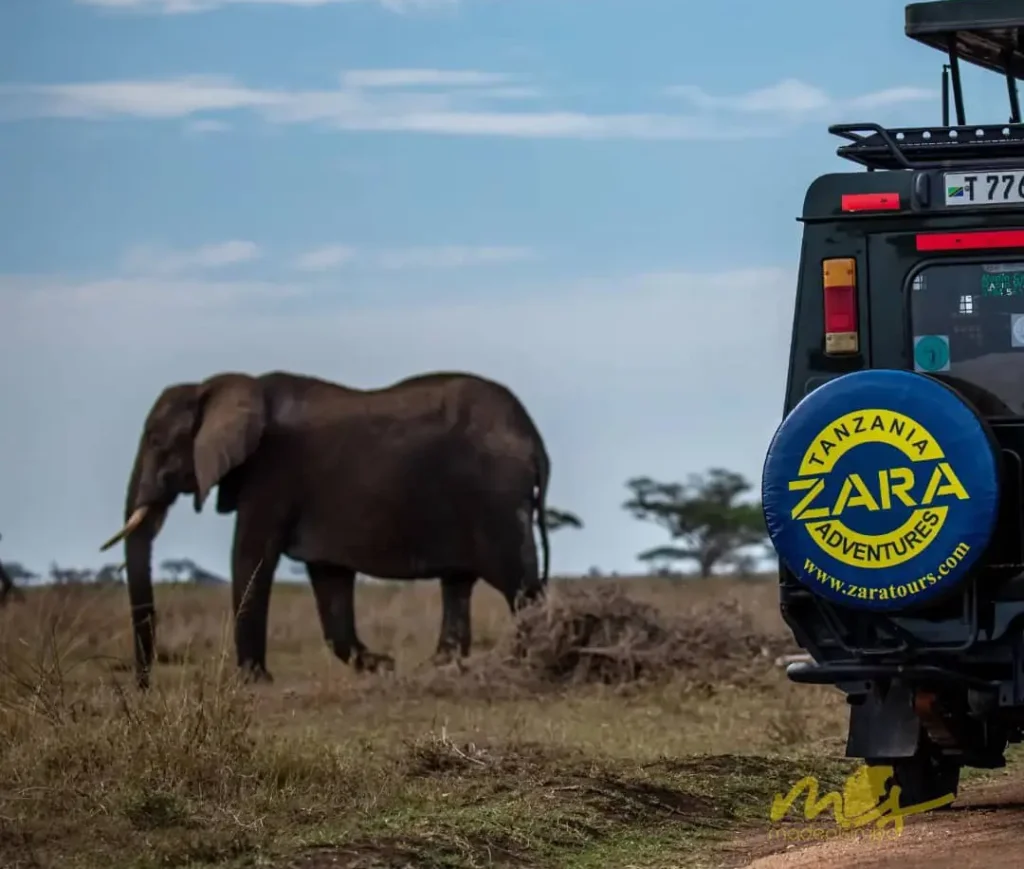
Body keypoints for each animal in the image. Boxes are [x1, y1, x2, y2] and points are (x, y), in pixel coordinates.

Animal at [99, 370, 551, 689]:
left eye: (157, 442)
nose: (143, 686)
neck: (217, 386)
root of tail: (535, 439)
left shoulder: (271, 474)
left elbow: (251, 557)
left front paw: (253, 682)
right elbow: (329, 581)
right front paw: (382, 666)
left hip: (496, 499)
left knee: (520, 586)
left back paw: (533, 661)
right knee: (459, 583)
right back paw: (439, 668)